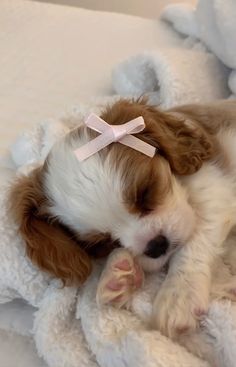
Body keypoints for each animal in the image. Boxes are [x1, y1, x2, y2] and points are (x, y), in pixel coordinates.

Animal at [9, 98, 236, 340]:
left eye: (145, 192)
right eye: (103, 242)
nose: (156, 245)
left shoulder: (215, 189)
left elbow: (193, 243)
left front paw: (179, 294)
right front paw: (118, 274)